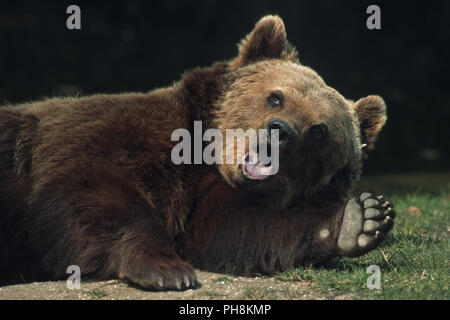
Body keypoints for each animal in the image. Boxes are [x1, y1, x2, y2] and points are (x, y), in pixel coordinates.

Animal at [0, 15, 394, 290]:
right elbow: (93, 193)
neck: (203, 157)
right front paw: (166, 269)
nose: (280, 131)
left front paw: (360, 218)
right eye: (276, 96)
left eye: (319, 131)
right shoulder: (101, 137)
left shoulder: (208, 201)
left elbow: (235, 231)